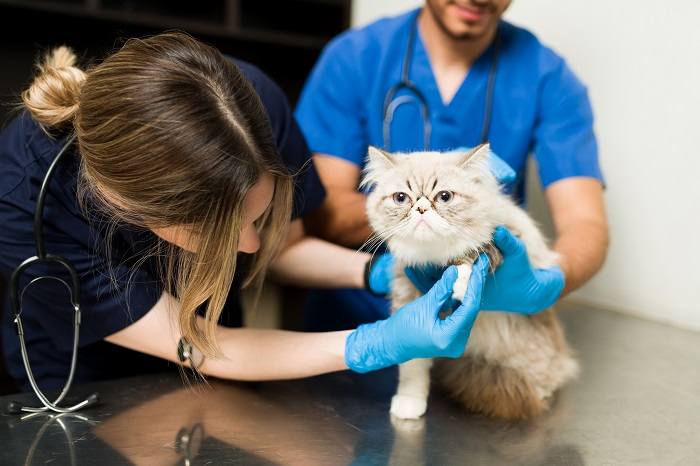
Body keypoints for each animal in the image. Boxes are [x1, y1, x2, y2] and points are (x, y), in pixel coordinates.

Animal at [364, 144, 576, 420]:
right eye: (401, 198)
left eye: (444, 196)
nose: (421, 209)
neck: (436, 259)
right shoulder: (407, 299)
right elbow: (412, 365)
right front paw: (410, 405)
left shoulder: (506, 237)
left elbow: (474, 254)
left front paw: (460, 284)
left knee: (551, 373)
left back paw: (542, 390)